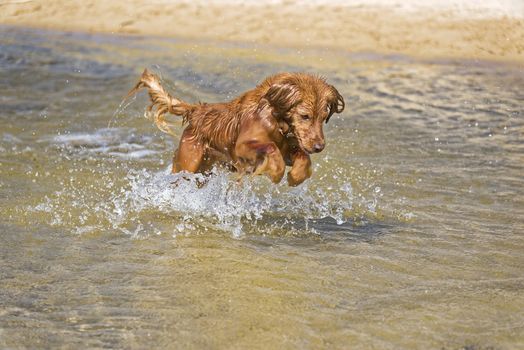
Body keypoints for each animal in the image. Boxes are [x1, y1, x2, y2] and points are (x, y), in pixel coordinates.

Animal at [129, 69, 346, 187]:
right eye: (304, 116)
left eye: (323, 118)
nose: (319, 147)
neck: (275, 117)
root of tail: (198, 110)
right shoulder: (242, 147)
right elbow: (270, 147)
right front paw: (277, 172)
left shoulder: (289, 147)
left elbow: (302, 156)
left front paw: (296, 176)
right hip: (188, 164)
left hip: (205, 170)